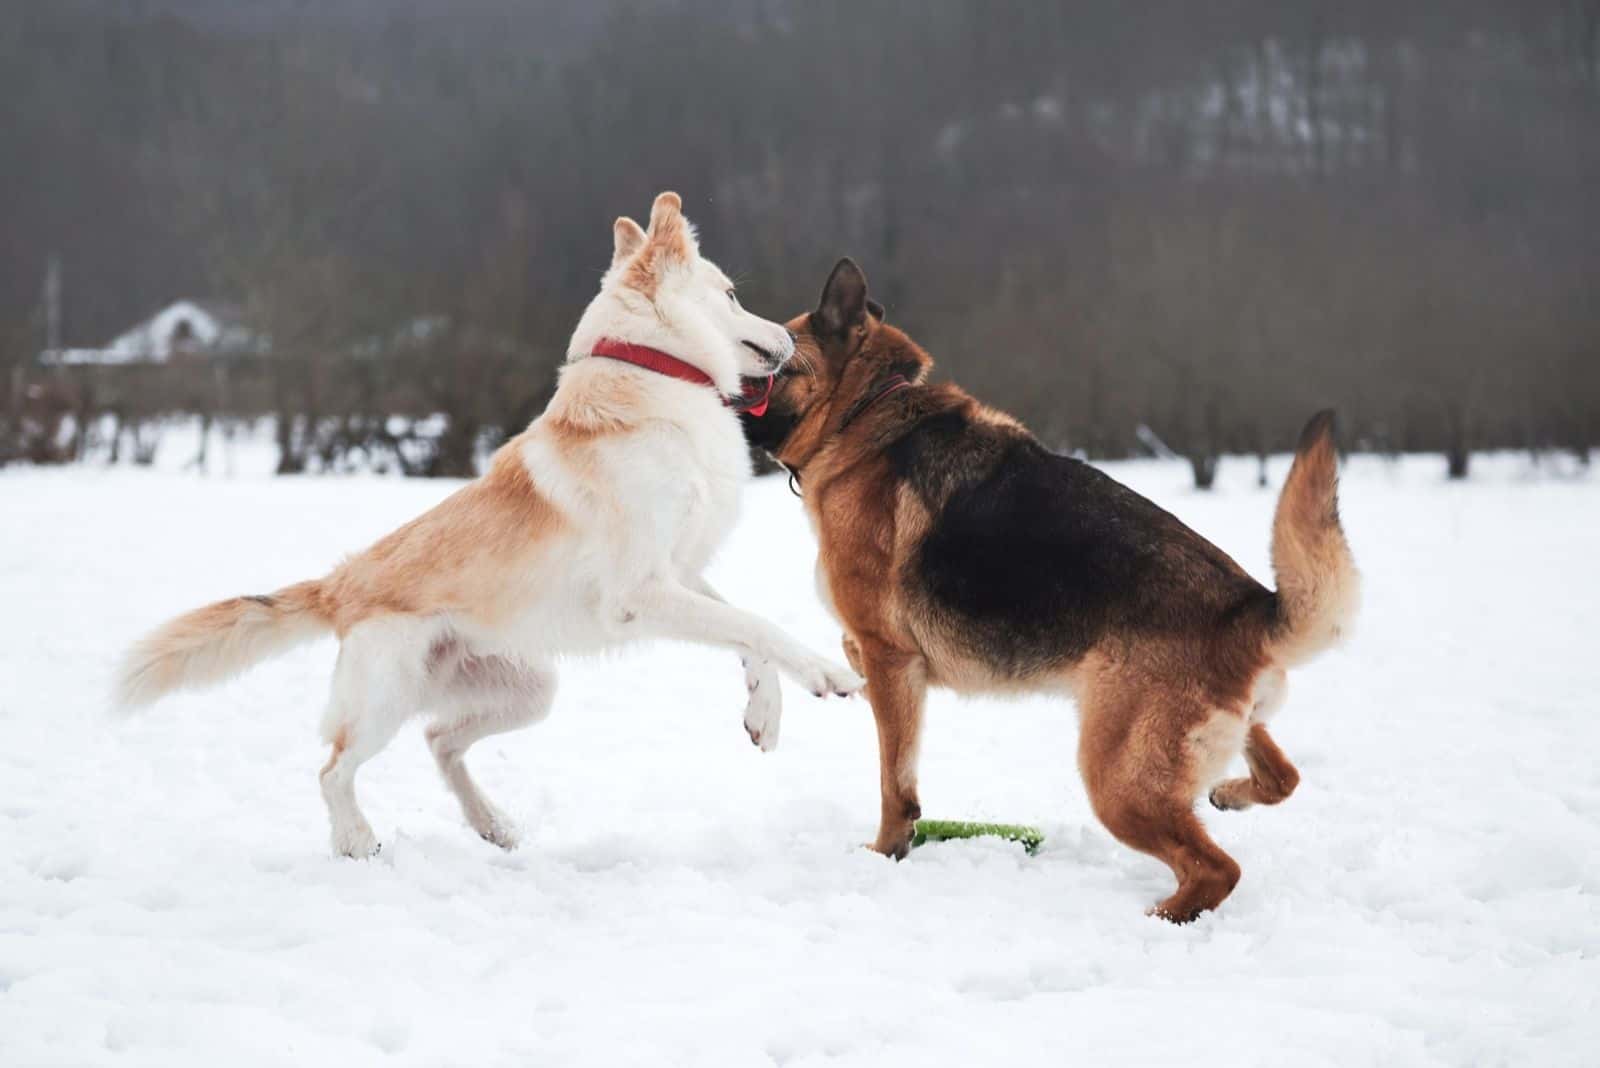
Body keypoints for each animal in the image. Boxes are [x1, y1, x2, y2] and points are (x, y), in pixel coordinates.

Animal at [742, 260, 1356, 927]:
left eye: (769, 367)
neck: (864, 410)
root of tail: (1250, 607)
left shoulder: (890, 659)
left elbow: (893, 783)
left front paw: (885, 853)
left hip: (1115, 779)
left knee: (1218, 869)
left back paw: (1157, 917)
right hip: (1208, 743)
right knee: (1281, 778)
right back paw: (1229, 797)